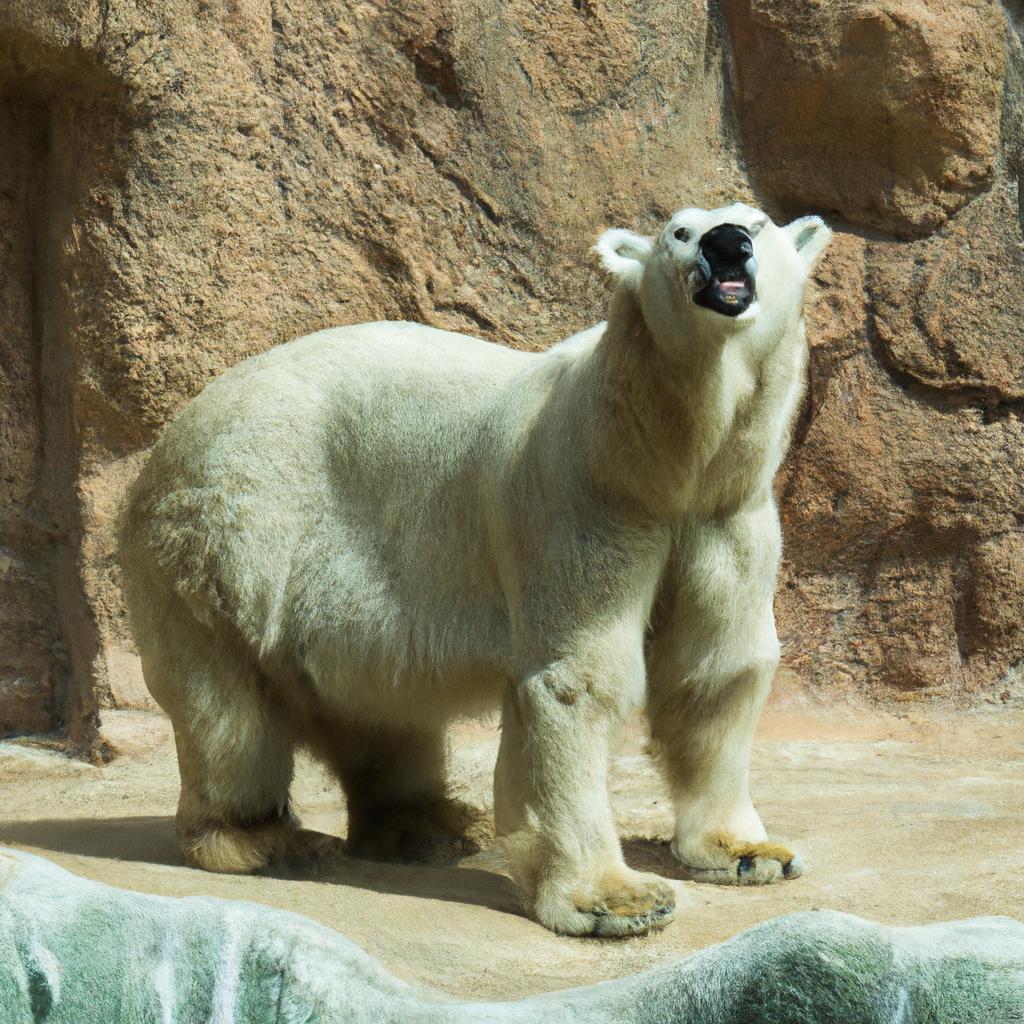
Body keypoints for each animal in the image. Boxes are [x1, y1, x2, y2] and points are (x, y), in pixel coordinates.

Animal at [117, 199, 831, 937]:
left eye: (758, 222)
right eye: (680, 232)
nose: (728, 244)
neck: (658, 457)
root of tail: (171, 438)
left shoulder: (726, 512)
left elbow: (716, 670)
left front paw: (750, 853)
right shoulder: (577, 504)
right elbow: (576, 679)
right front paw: (616, 899)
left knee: (374, 700)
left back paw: (432, 824)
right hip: (228, 542)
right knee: (231, 712)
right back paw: (263, 839)